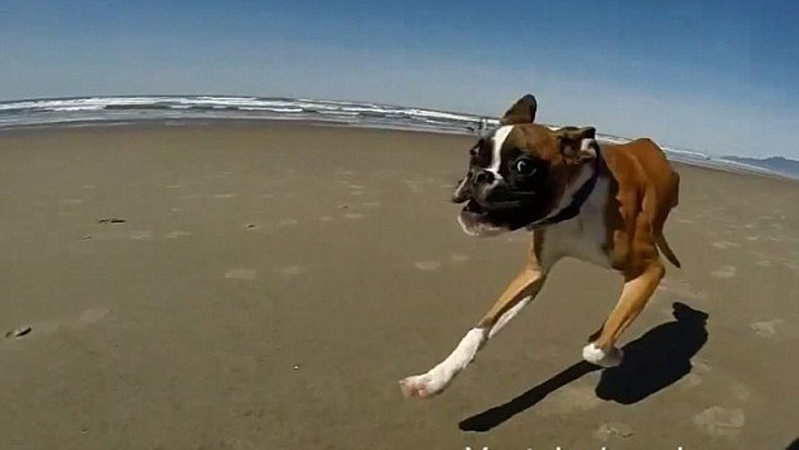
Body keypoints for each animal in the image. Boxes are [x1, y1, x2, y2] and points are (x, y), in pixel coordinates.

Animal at [400, 94, 680, 398]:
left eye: (524, 166)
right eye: (475, 153)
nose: (478, 176)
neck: (576, 206)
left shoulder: (649, 271)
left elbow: (594, 349)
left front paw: (613, 353)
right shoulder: (534, 273)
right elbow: (480, 329)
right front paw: (435, 378)